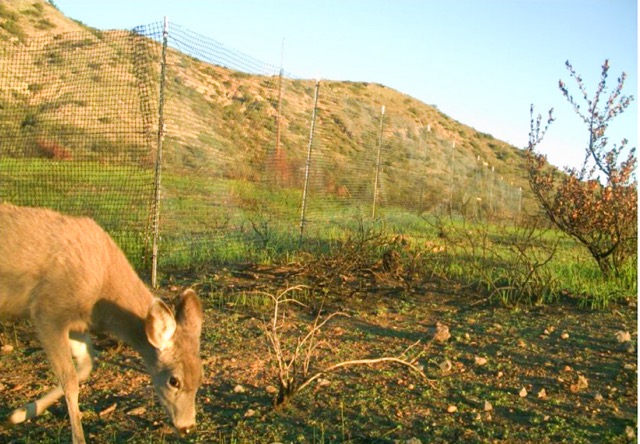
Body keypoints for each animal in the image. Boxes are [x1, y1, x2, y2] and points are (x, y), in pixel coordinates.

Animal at [0, 203, 204, 442]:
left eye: (200, 378)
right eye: (174, 381)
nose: (187, 427)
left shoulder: (78, 324)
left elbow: (86, 366)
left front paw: (19, 414)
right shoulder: (48, 312)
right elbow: (69, 380)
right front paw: (78, 438)